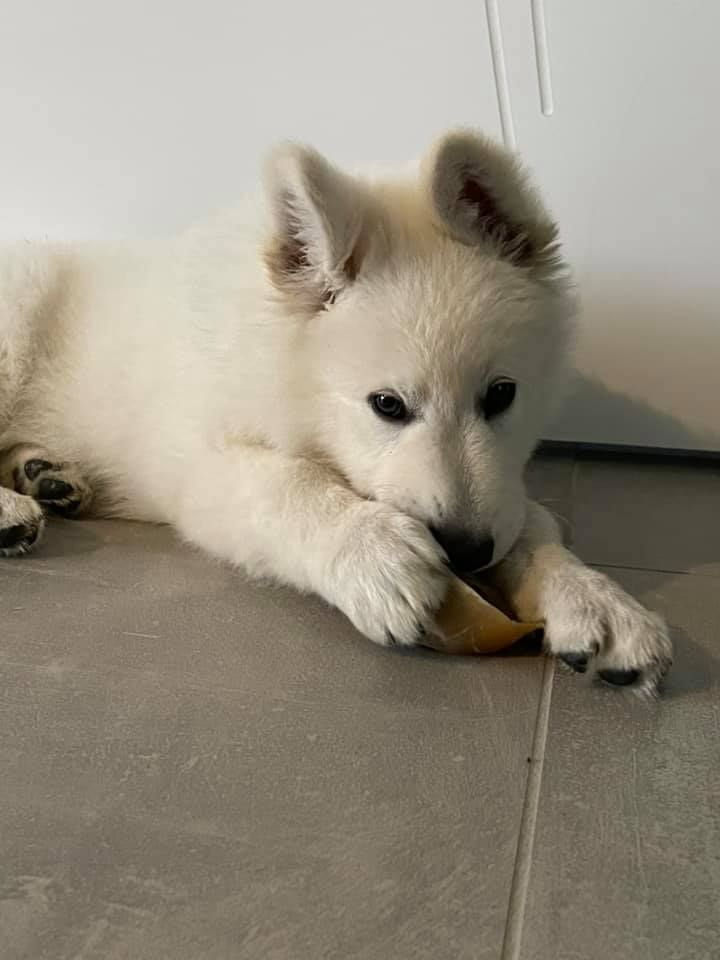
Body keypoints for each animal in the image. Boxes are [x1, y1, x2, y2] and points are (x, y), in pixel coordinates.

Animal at [0, 131, 672, 692]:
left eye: (502, 395)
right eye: (387, 405)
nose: (464, 551)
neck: (283, 368)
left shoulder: (500, 494)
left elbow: (532, 525)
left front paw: (594, 597)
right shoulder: (199, 462)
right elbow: (287, 484)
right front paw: (374, 554)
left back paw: (47, 478)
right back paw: (15, 509)